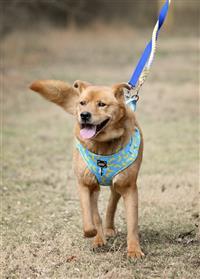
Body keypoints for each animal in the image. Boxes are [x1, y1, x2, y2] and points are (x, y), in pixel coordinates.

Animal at [29, 80, 145, 260]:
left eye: (101, 104)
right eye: (82, 103)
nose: (84, 115)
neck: (103, 146)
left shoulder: (128, 186)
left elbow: (132, 223)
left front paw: (134, 250)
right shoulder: (86, 184)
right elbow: (90, 214)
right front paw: (94, 234)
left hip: (117, 186)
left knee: (112, 202)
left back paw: (109, 228)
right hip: (96, 187)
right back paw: (100, 235)